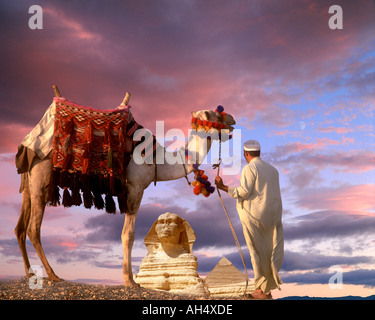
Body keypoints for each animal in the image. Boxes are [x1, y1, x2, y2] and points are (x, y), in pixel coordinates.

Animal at [16, 89, 236, 286]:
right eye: (218, 113)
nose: (233, 120)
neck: (158, 160)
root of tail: (28, 143)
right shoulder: (136, 188)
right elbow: (128, 234)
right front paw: (130, 281)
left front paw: (131, 279)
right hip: (41, 177)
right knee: (33, 228)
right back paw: (53, 275)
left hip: (29, 182)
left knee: (20, 227)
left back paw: (29, 273)